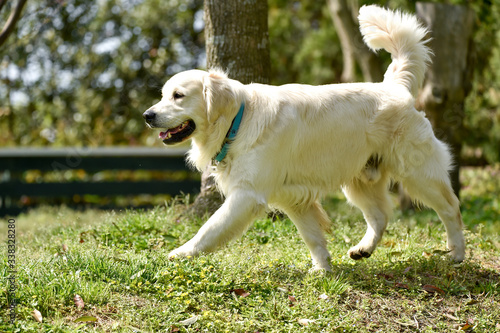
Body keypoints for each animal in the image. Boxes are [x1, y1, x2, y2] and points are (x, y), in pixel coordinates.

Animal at [142, 5, 464, 270]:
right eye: (162, 95)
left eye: (178, 96)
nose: (147, 115)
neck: (238, 121)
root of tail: (394, 86)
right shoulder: (293, 197)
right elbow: (312, 237)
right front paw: (322, 270)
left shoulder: (247, 194)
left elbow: (208, 229)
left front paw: (181, 253)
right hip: (359, 179)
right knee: (380, 216)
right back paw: (363, 249)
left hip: (418, 172)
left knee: (451, 208)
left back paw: (457, 253)